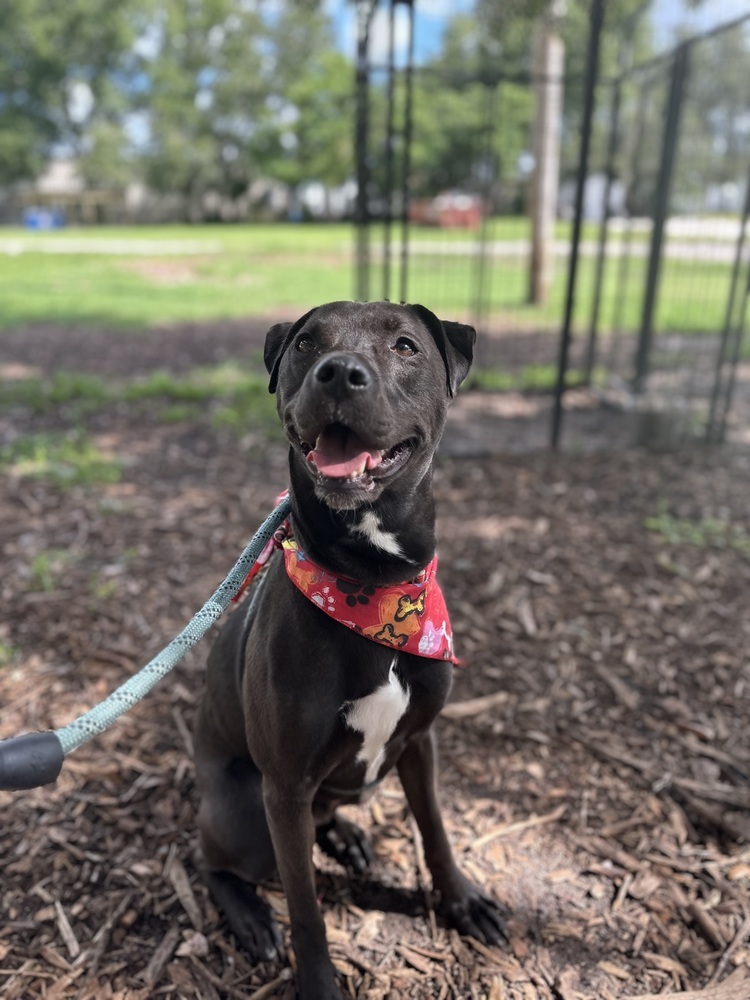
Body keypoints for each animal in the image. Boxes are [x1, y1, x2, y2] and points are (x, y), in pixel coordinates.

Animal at [197, 300, 508, 996]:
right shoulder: (284, 789)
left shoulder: (420, 741)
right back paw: (251, 918)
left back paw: (346, 838)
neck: (371, 587)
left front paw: (463, 902)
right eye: (306, 344)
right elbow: (306, 906)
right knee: (213, 863)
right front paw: (317, 981)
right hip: (248, 818)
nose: (339, 372)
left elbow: (436, 832)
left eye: (406, 346)